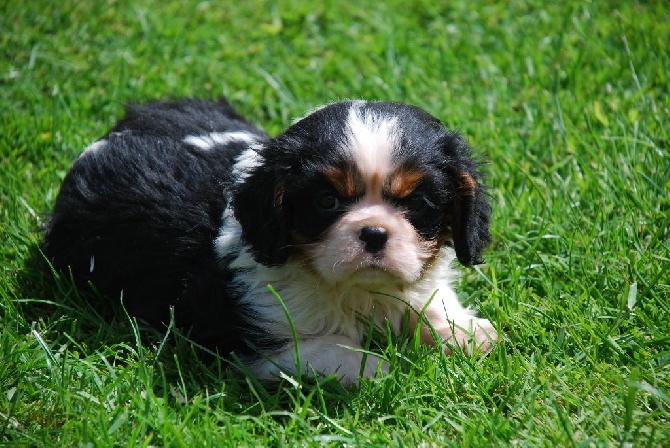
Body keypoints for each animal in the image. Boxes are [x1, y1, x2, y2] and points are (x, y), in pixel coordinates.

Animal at [44, 99, 498, 384]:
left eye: (418, 203)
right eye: (326, 201)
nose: (373, 232)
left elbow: (428, 299)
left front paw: (464, 331)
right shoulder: (250, 339)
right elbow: (327, 347)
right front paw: (375, 368)